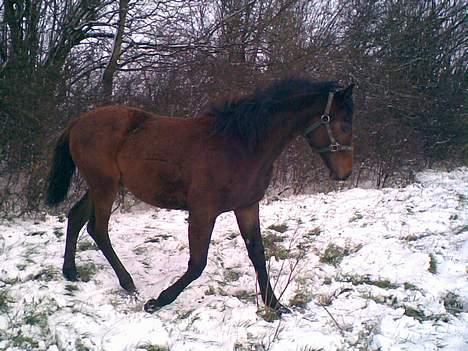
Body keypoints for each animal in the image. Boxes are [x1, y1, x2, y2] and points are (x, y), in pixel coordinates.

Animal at [46, 78, 354, 314]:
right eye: (343, 124)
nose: (346, 173)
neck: (241, 145)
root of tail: (78, 121)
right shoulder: (202, 212)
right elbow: (197, 264)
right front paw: (158, 301)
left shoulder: (246, 206)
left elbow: (257, 254)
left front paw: (275, 305)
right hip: (105, 186)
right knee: (98, 229)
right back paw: (128, 283)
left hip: (100, 185)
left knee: (76, 217)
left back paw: (70, 272)